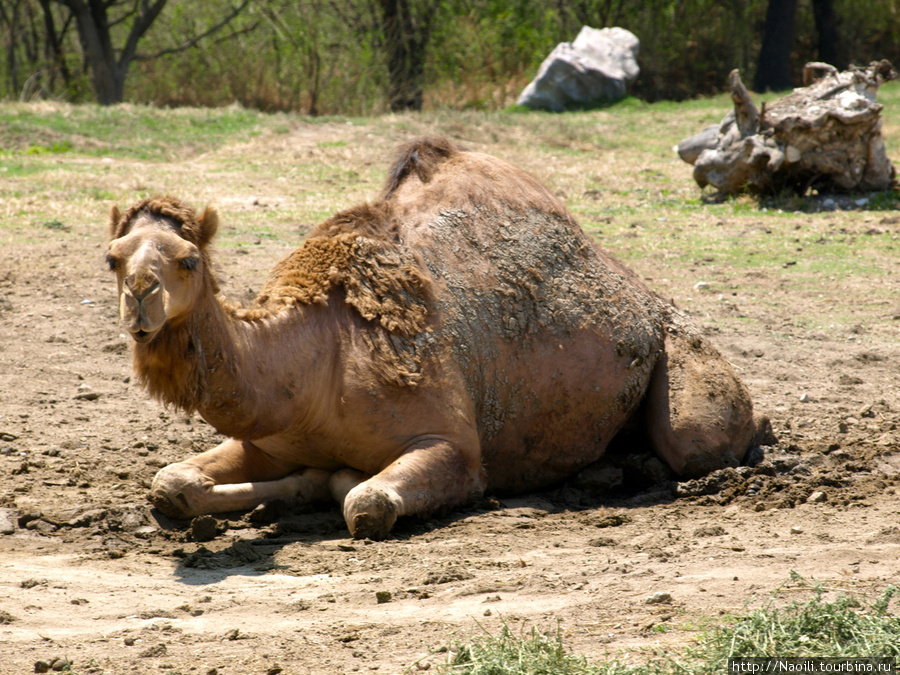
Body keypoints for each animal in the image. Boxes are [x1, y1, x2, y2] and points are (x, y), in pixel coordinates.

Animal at [105, 136, 760, 540]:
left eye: (189, 259)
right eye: (112, 256)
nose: (141, 294)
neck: (318, 356)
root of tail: (647, 299)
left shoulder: (452, 445)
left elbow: (365, 502)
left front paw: (329, 486)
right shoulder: (271, 438)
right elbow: (170, 483)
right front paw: (286, 490)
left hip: (683, 364)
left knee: (697, 444)